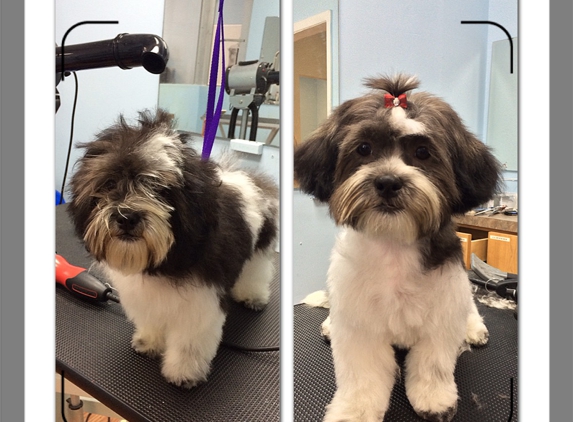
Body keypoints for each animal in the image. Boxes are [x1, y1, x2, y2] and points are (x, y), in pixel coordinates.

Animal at [294, 74, 500, 420]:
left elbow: (433, 364)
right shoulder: (360, 326)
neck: (394, 245)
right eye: (364, 148)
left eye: (423, 152)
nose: (388, 182)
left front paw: (434, 398)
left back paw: (473, 327)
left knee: (469, 307)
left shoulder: (441, 311)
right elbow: (363, 376)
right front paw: (355, 410)